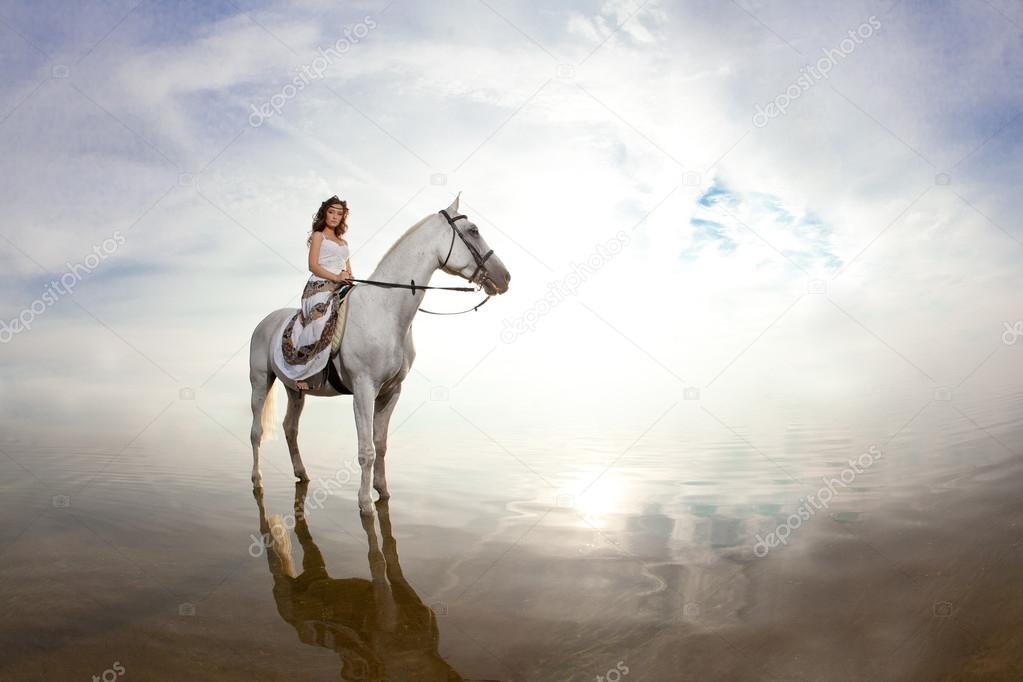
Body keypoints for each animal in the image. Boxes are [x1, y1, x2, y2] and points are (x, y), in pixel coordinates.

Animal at [249, 196, 511, 511]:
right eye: (473, 231)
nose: (504, 276)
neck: (385, 309)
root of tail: (266, 321)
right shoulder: (364, 390)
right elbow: (366, 449)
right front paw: (365, 503)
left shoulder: (391, 391)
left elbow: (381, 444)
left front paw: (382, 491)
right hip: (260, 381)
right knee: (256, 432)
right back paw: (257, 480)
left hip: (295, 389)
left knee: (290, 428)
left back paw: (302, 474)